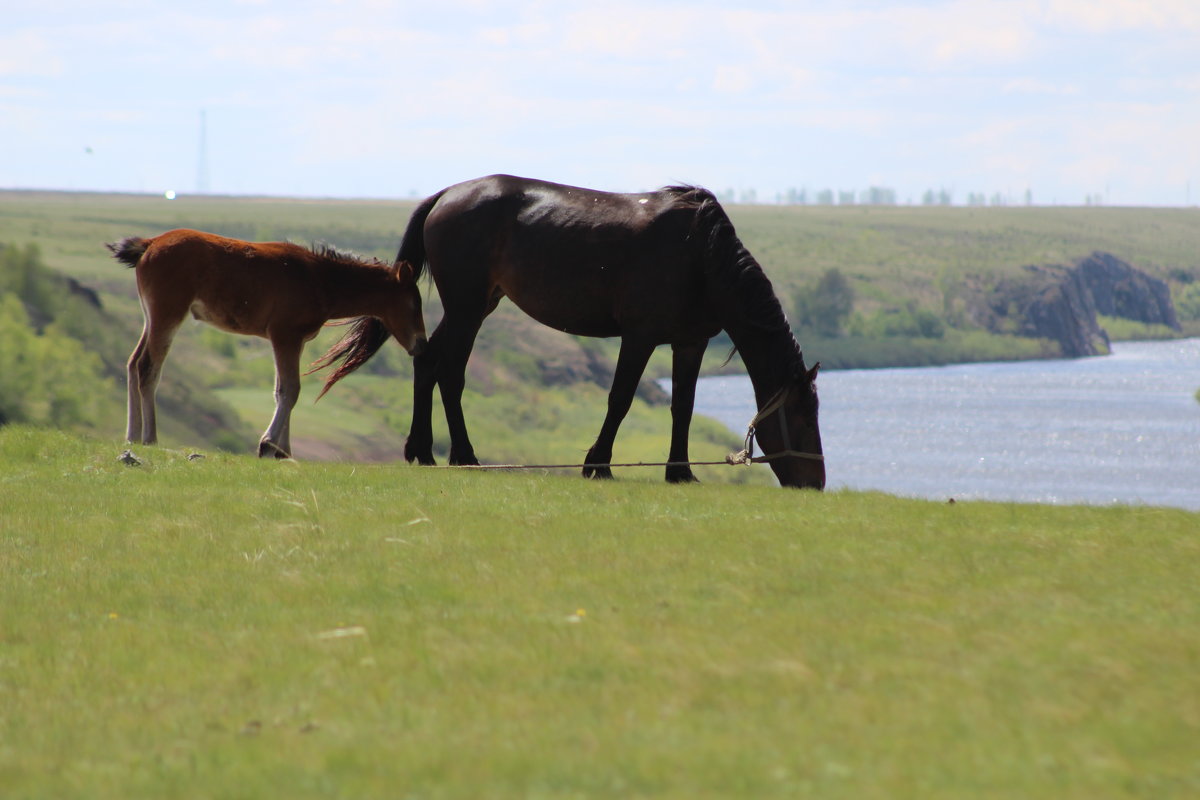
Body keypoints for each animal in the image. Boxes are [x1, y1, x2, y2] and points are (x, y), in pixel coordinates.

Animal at [108, 227, 427, 460]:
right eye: (414, 304)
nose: (421, 344)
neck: (319, 279)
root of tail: (150, 243)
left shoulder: (293, 340)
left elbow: (280, 390)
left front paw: (282, 450)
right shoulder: (284, 335)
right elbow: (291, 390)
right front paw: (269, 445)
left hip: (151, 316)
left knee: (133, 363)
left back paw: (132, 436)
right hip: (168, 314)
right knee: (148, 367)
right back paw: (150, 438)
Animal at [314, 173, 825, 489]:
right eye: (803, 418)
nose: (816, 483)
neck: (700, 254)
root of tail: (445, 195)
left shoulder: (689, 342)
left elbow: (683, 407)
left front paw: (680, 472)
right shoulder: (639, 337)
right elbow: (620, 399)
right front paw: (597, 464)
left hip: (477, 306)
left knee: (432, 361)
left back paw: (425, 450)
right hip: (466, 306)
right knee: (448, 369)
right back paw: (461, 455)